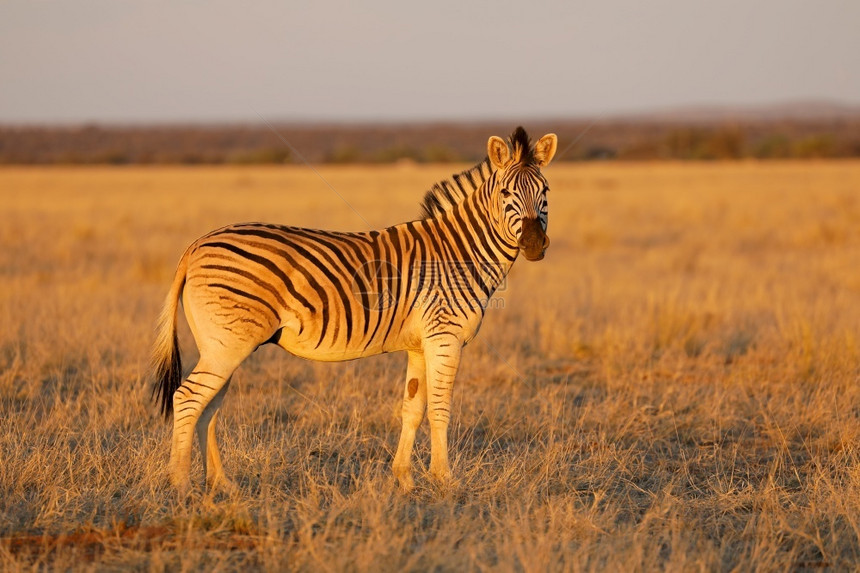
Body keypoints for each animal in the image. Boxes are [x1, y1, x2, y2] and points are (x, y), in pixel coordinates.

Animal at [153, 126, 556, 492]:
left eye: (546, 192)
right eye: (506, 193)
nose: (534, 245)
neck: (459, 252)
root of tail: (196, 245)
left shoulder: (419, 344)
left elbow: (412, 408)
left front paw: (404, 479)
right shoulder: (445, 337)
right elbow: (440, 408)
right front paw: (444, 479)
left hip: (221, 344)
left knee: (208, 407)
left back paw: (221, 484)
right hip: (229, 343)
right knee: (188, 399)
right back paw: (181, 485)